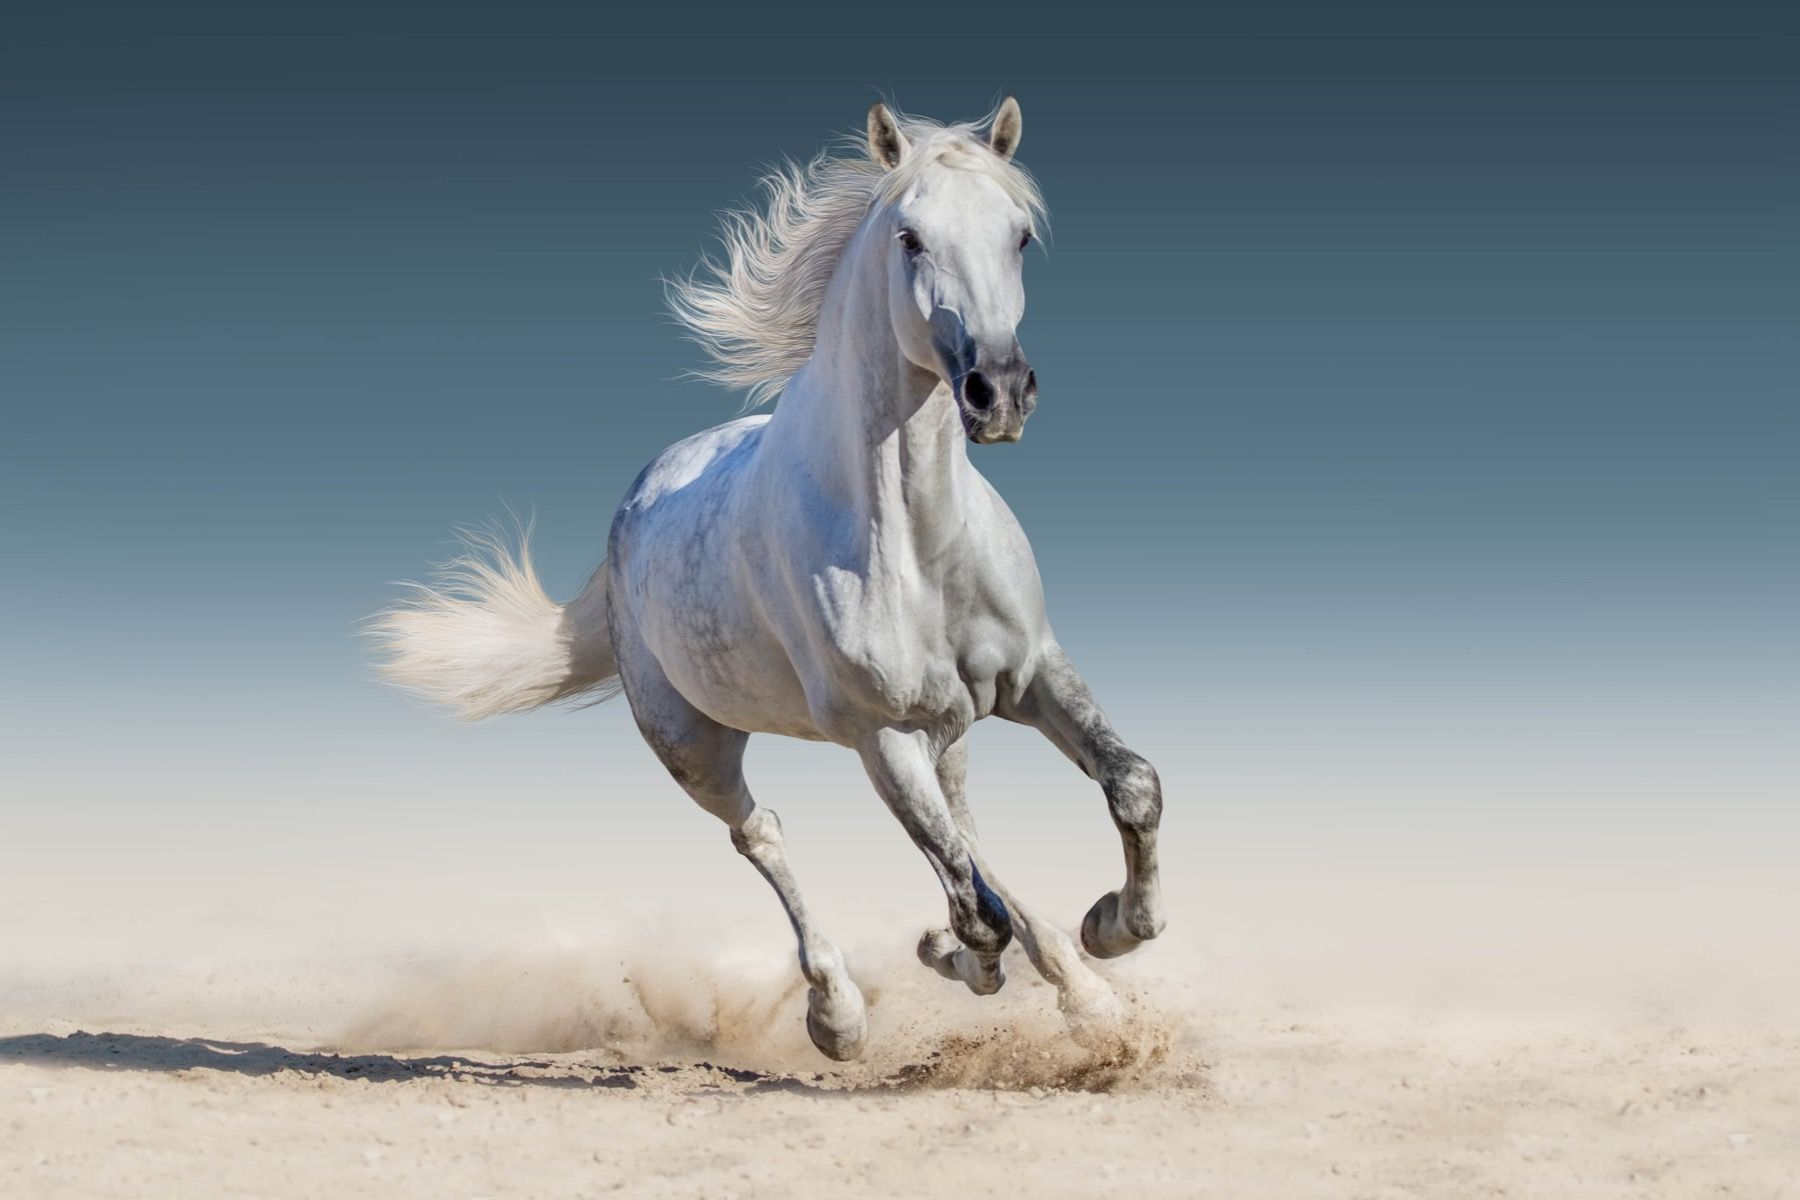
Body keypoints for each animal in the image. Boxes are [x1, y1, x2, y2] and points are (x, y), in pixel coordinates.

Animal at [372, 99, 1165, 1060]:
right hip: (695, 747)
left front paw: (1111, 930)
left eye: (1019, 235)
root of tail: (634, 503)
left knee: (964, 829)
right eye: (909, 237)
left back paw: (1078, 988)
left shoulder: (1032, 672)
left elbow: (1129, 787)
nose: (998, 393)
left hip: (947, 728)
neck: (916, 539)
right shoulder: (880, 734)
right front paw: (972, 959)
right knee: (766, 836)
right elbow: (974, 907)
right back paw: (840, 1015)